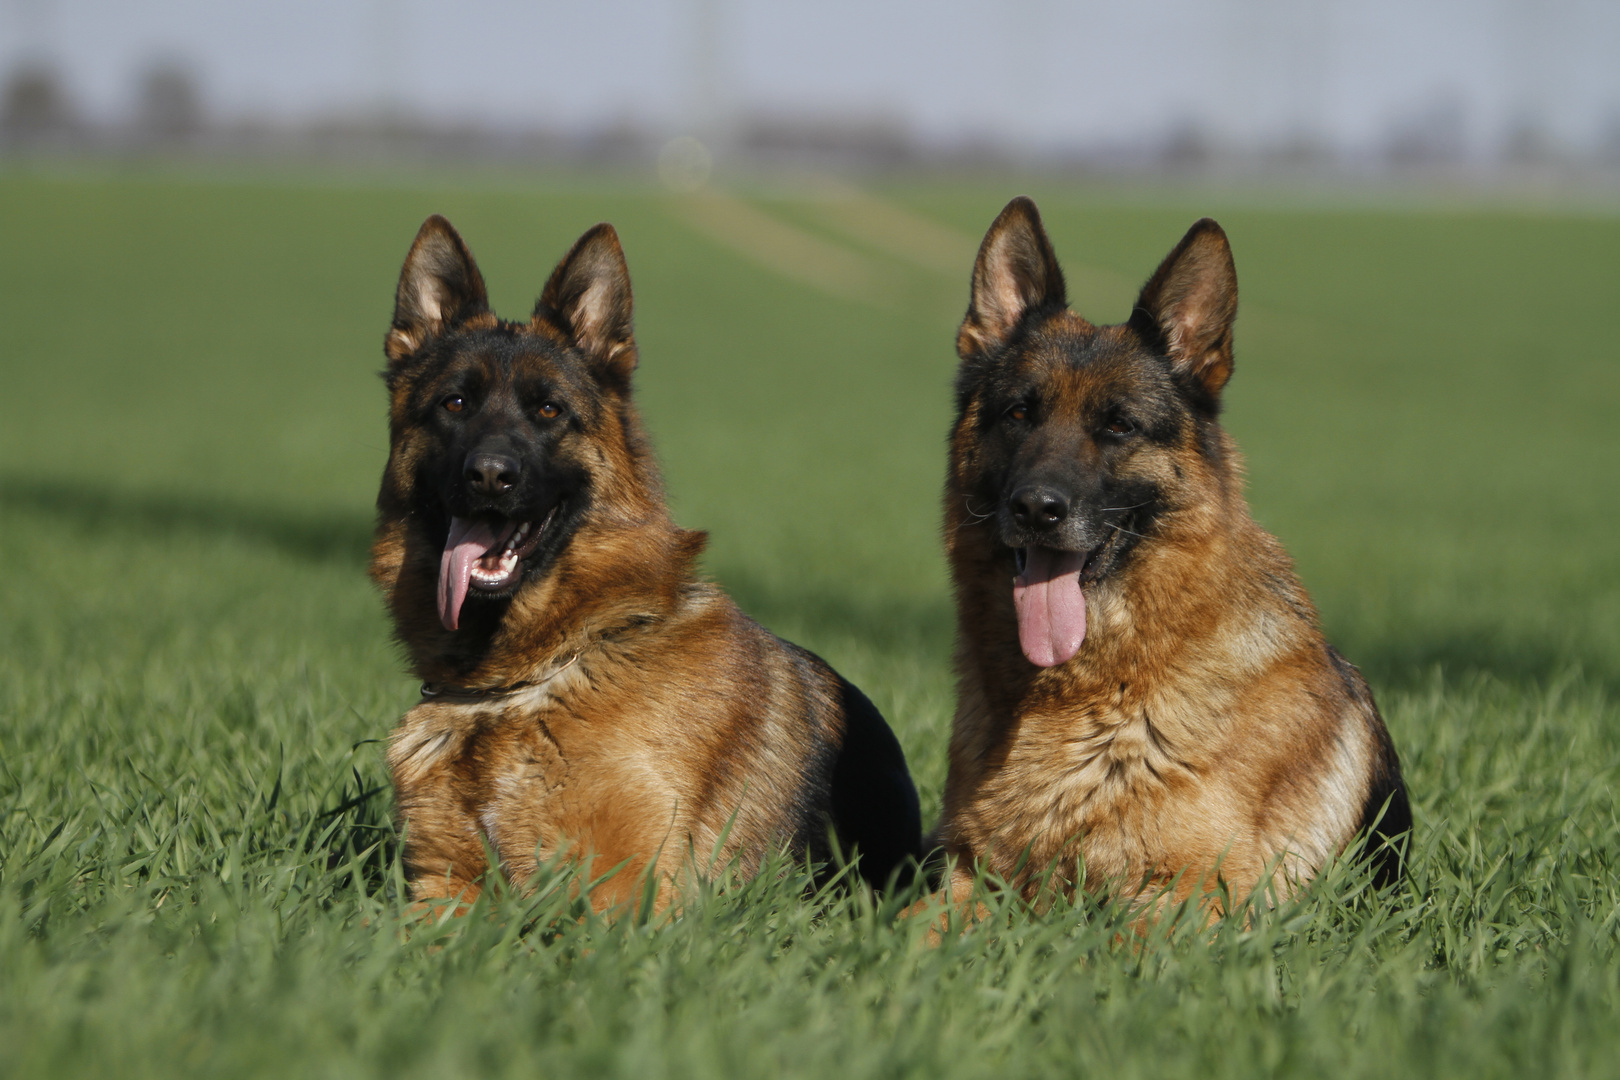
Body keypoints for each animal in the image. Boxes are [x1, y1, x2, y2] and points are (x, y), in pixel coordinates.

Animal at [370, 215, 920, 906]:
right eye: (454, 405)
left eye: (548, 410)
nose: (490, 475)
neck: (526, 680)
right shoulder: (442, 889)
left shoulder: (629, 892)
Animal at [933, 196, 1412, 913]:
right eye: (1019, 414)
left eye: (1118, 425)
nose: (1037, 509)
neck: (1093, 692)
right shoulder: (967, 878)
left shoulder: (1191, 897)